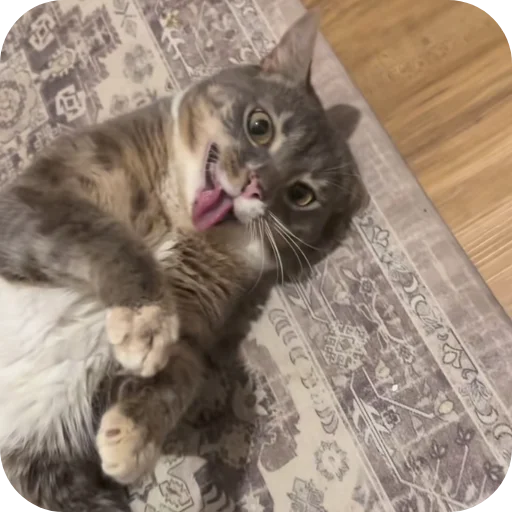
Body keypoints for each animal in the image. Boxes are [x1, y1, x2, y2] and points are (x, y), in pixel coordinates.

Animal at [0, 12, 365, 512]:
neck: (177, 219)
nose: (255, 186)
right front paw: (145, 319)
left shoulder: (194, 323)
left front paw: (131, 439)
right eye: (260, 126)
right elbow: (109, 240)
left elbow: (175, 381)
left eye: (301, 195)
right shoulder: (38, 200)